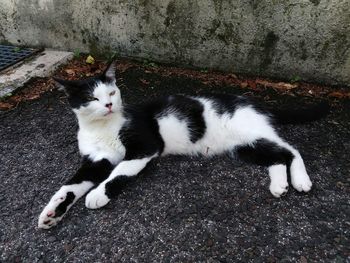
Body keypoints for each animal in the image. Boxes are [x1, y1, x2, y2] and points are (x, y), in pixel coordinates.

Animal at [38, 61, 328, 229]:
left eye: (111, 92)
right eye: (91, 98)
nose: (109, 105)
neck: (102, 128)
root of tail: (252, 102)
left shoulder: (145, 147)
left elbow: (118, 173)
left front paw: (98, 194)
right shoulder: (95, 160)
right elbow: (69, 186)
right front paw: (52, 212)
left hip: (252, 134)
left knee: (292, 150)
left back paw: (301, 181)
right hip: (246, 146)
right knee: (277, 157)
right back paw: (279, 185)